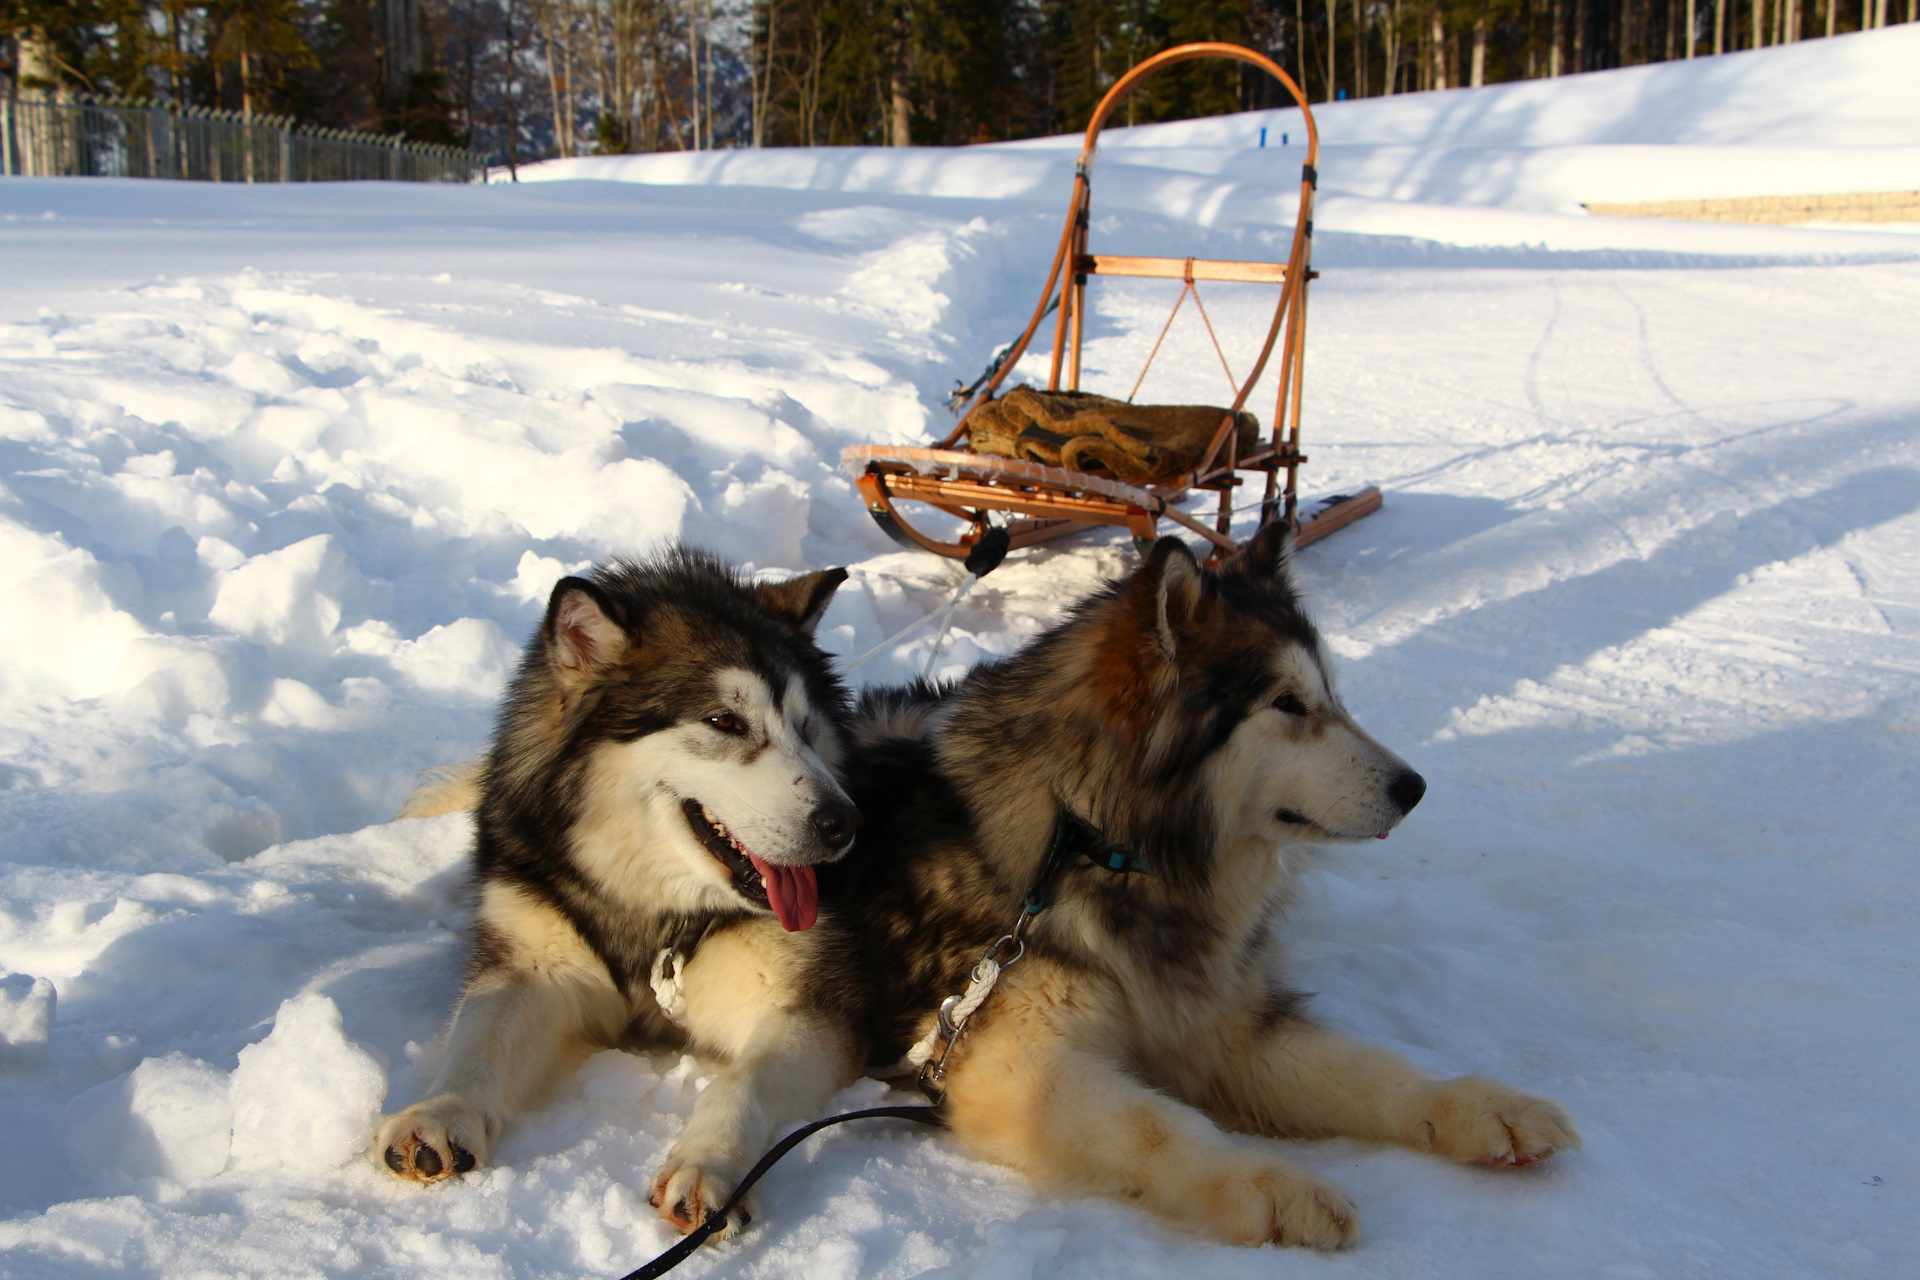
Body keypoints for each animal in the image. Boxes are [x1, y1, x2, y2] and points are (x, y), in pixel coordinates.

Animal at [376, 545, 864, 1235]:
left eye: (807, 727)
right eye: (724, 721)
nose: (844, 822)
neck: (651, 910)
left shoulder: (808, 1008)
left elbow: (740, 1082)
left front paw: (708, 1164)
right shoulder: (532, 963)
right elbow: (476, 1038)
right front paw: (440, 1113)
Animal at [837, 529, 1574, 1251]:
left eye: (1334, 699)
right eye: (1287, 703)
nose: (1414, 788)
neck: (1094, 841)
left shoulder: (1221, 1021)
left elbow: (1369, 1069)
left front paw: (1480, 1106)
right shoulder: (1005, 1058)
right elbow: (1155, 1124)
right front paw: (1268, 1182)